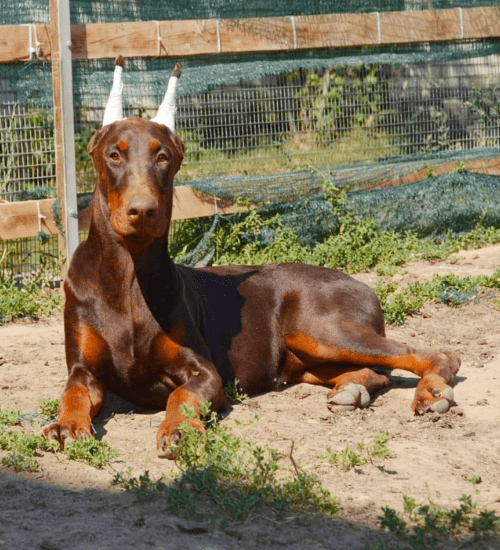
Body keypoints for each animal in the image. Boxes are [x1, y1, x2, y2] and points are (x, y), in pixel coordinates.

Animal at [44, 60, 460, 460]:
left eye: (163, 156)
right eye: (114, 154)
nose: (143, 211)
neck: (129, 276)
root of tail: (359, 282)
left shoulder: (204, 371)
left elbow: (182, 394)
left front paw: (179, 429)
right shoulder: (84, 368)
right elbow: (72, 391)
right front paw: (66, 425)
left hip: (323, 330)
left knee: (431, 355)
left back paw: (432, 393)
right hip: (306, 357)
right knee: (376, 372)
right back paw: (352, 390)